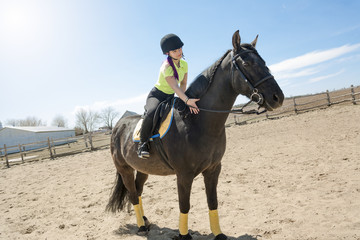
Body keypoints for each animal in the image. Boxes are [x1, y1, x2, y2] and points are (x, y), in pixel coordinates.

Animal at [106, 31, 284, 239]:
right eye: (247, 63)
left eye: (263, 61)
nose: (277, 97)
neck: (196, 121)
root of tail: (118, 125)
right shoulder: (184, 175)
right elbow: (185, 205)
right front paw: (184, 235)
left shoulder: (214, 169)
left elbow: (212, 201)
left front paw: (218, 233)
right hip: (124, 169)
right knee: (133, 194)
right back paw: (141, 227)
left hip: (143, 168)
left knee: (138, 190)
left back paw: (145, 221)